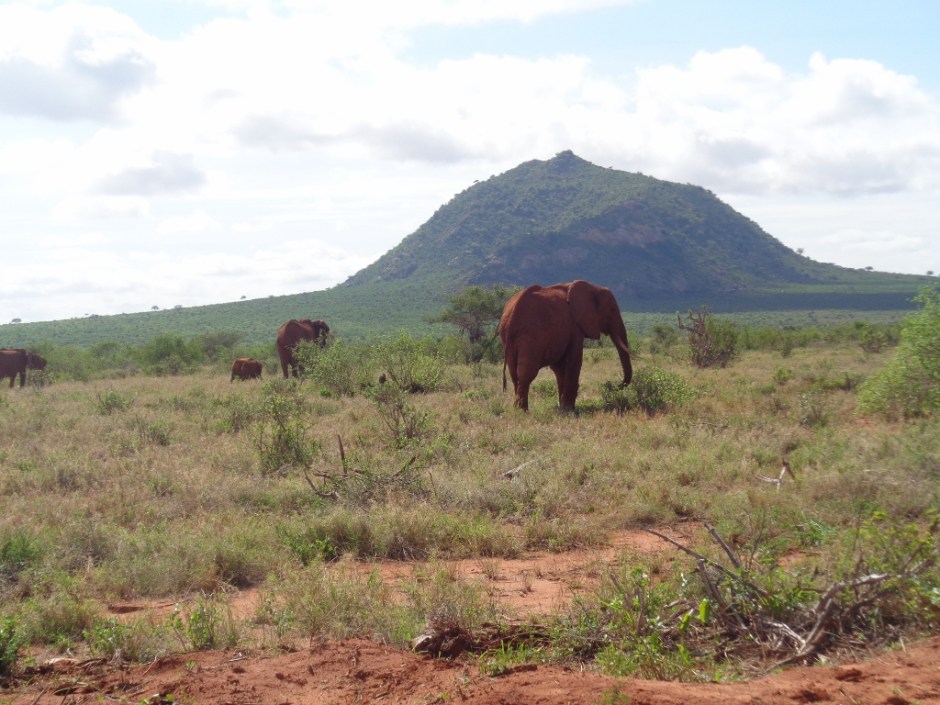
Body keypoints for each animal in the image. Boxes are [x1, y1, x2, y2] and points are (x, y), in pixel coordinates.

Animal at [498, 280, 633, 411]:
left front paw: (562, 407)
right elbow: (574, 361)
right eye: (612, 310)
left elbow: (559, 368)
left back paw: (517, 409)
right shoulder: (575, 327)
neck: (593, 287)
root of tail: (512, 315)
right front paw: (568, 409)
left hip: (508, 338)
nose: (615, 385)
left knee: (514, 373)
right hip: (530, 335)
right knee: (526, 373)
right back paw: (523, 411)